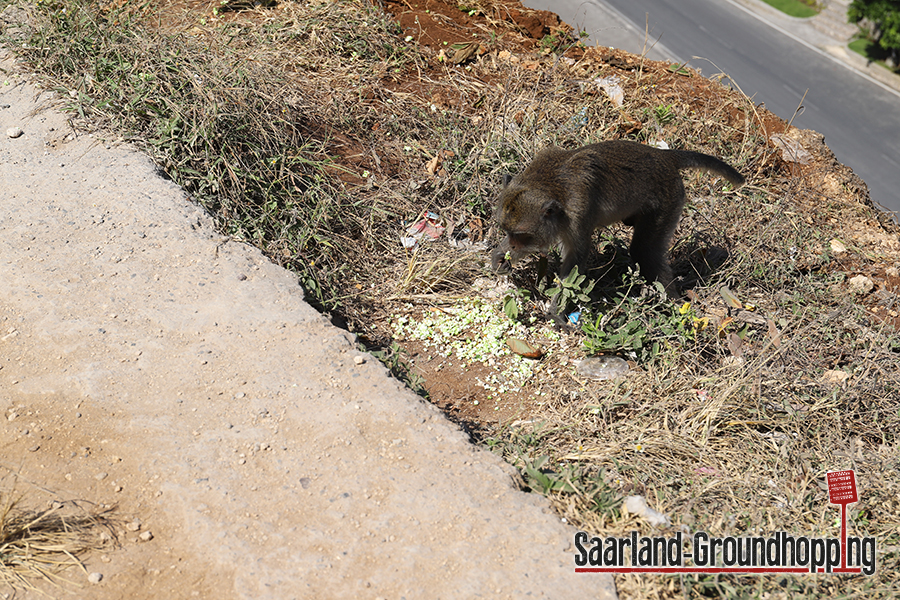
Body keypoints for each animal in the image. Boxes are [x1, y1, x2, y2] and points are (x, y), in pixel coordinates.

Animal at [492, 138, 744, 302]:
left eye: (522, 235)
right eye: (508, 232)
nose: (511, 245)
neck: (551, 185)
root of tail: (663, 156)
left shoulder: (577, 213)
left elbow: (576, 260)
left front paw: (557, 309)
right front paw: (501, 256)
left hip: (669, 198)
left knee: (645, 251)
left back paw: (672, 303)